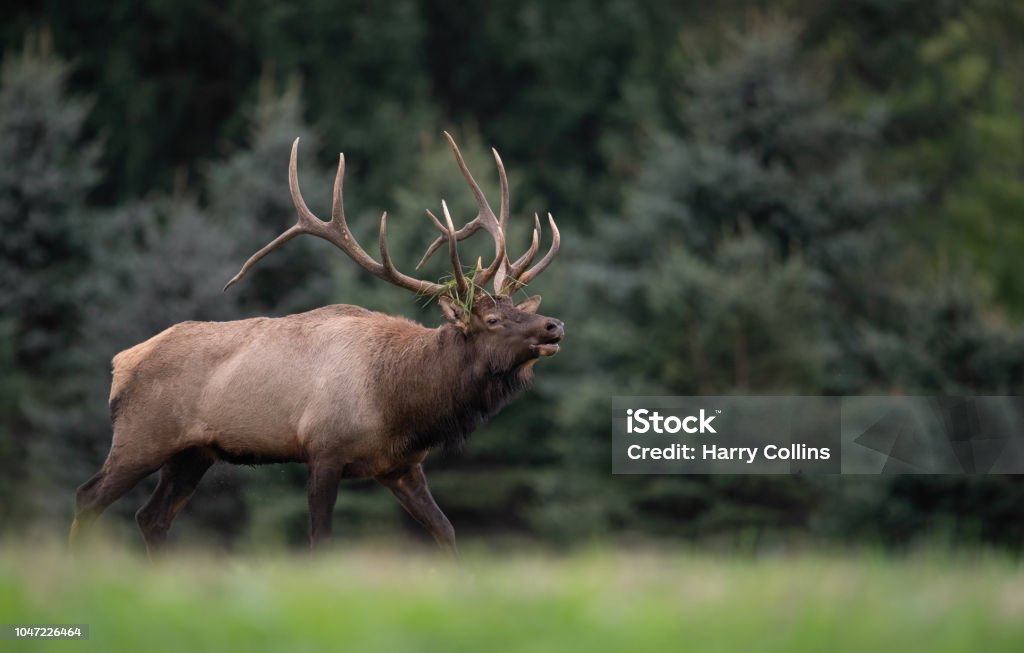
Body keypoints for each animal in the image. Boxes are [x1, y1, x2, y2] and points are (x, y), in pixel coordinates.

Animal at [68, 134, 565, 556]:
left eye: (519, 306)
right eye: (493, 319)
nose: (553, 325)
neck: (401, 401)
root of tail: (121, 363)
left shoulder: (400, 466)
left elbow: (446, 531)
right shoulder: (324, 450)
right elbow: (319, 541)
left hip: (191, 453)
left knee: (150, 517)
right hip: (141, 435)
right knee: (88, 497)